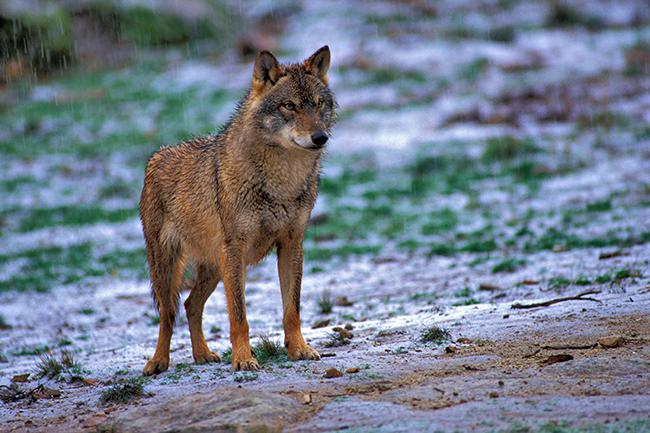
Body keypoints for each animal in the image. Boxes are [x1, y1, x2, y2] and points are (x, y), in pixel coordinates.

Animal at [140, 45, 336, 372]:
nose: (320, 137)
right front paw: (244, 359)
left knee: (190, 304)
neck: (282, 180)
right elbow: (239, 316)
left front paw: (299, 349)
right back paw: (158, 361)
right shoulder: (236, 248)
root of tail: (155, 157)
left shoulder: (292, 243)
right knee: (168, 313)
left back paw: (202, 354)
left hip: (215, 267)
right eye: (289, 106)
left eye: (319, 104)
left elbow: (292, 308)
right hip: (170, 266)